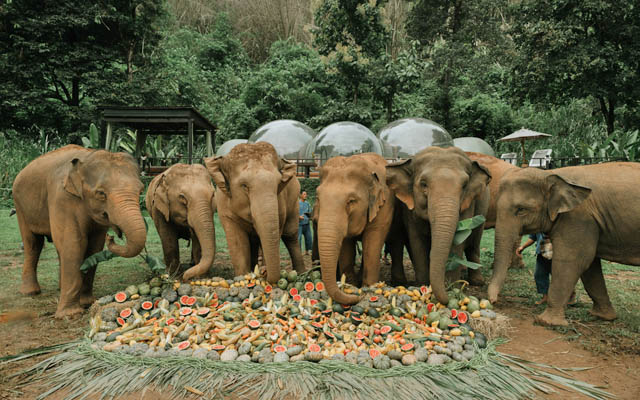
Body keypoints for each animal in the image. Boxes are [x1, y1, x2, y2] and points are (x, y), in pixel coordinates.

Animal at [12, 145, 146, 318]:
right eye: (101, 193)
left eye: (141, 190)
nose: (111, 237)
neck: (87, 157)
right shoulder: (62, 198)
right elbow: (75, 244)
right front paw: (70, 315)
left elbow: (94, 247)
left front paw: (87, 303)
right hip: (20, 205)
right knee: (33, 244)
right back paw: (30, 292)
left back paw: (59, 288)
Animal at [204, 142, 305, 283]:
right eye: (244, 186)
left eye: (278, 184)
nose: (264, 272)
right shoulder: (224, 205)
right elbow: (237, 242)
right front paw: (243, 276)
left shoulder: (280, 203)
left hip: (294, 201)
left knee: (290, 235)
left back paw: (301, 274)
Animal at [315, 153, 394, 304]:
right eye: (318, 198)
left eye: (351, 201)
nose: (359, 296)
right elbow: (346, 246)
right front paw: (351, 286)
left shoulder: (384, 206)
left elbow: (372, 244)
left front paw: (368, 288)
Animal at [386, 146, 491, 305]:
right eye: (423, 184)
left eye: (464, 186)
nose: (447, 298)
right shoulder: (410, 208)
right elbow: (417, 242)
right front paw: (423, 286)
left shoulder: (468, 204)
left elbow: (457, 242)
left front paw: (452, 287)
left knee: (474, 243)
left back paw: (477, 282)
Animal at [487, 163, 640, 326]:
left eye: (521, 209)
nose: (493, 302)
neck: (551, 174)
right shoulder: (590, 222)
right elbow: (590, 266)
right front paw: (602, 316)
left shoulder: (577, 217)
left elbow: (572, 260)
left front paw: (546, 322)